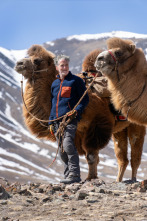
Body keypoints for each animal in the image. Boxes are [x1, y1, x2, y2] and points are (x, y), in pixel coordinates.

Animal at [82, 49, 145, 182]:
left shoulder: (96, 126)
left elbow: (92, 154)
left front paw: (91, 178)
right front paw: (91, 177)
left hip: (136, 126)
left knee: (135, 155)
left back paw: (132, 179)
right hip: (119, 130)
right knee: (123, 158)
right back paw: (118, 180)